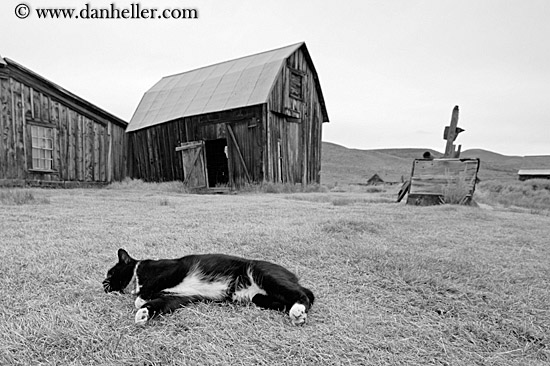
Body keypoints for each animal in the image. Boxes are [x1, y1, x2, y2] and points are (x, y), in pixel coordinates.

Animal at [102, 249, 314, 326]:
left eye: (110, 274)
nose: (103, 284)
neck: (139, 272)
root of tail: (293, 276)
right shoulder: (177, 297)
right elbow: (161, 303)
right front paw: (144, 314)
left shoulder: (173, 269)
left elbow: (144, 292)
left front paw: (140, 300)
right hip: (259, 298)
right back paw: (297, 314)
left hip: (263, 274)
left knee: (305, 295)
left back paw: (298, 310)